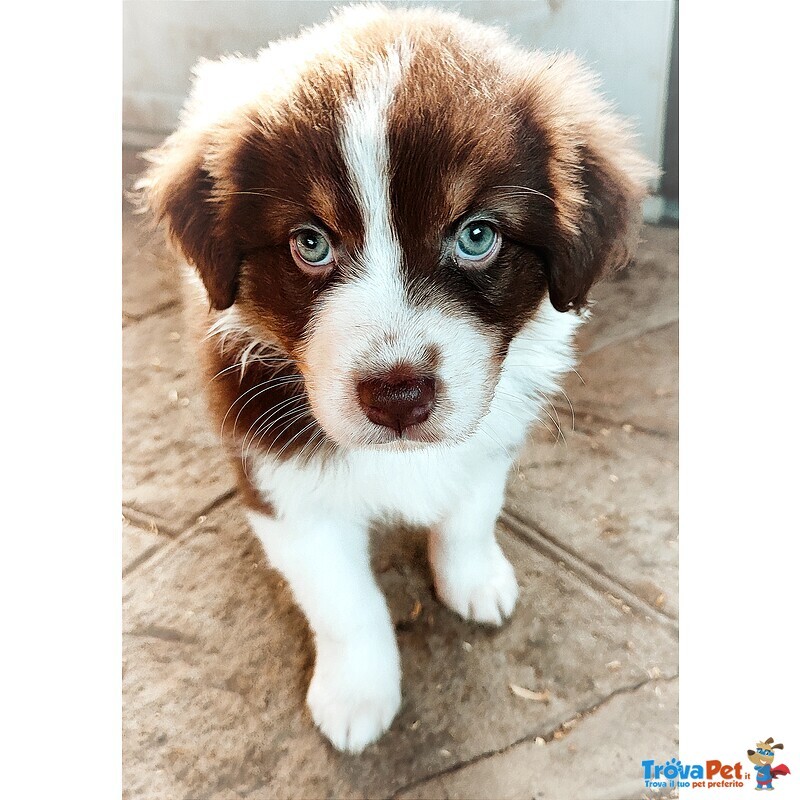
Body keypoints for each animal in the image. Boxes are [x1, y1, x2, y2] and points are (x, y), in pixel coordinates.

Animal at [139, 4, 656, 756]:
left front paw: (474, 580)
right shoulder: (281, 483)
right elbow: (343, 601)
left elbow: (470, 513)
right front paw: (357, 697)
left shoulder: (490, 436)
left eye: (477, 237)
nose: (398, 396)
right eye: (310, 243)